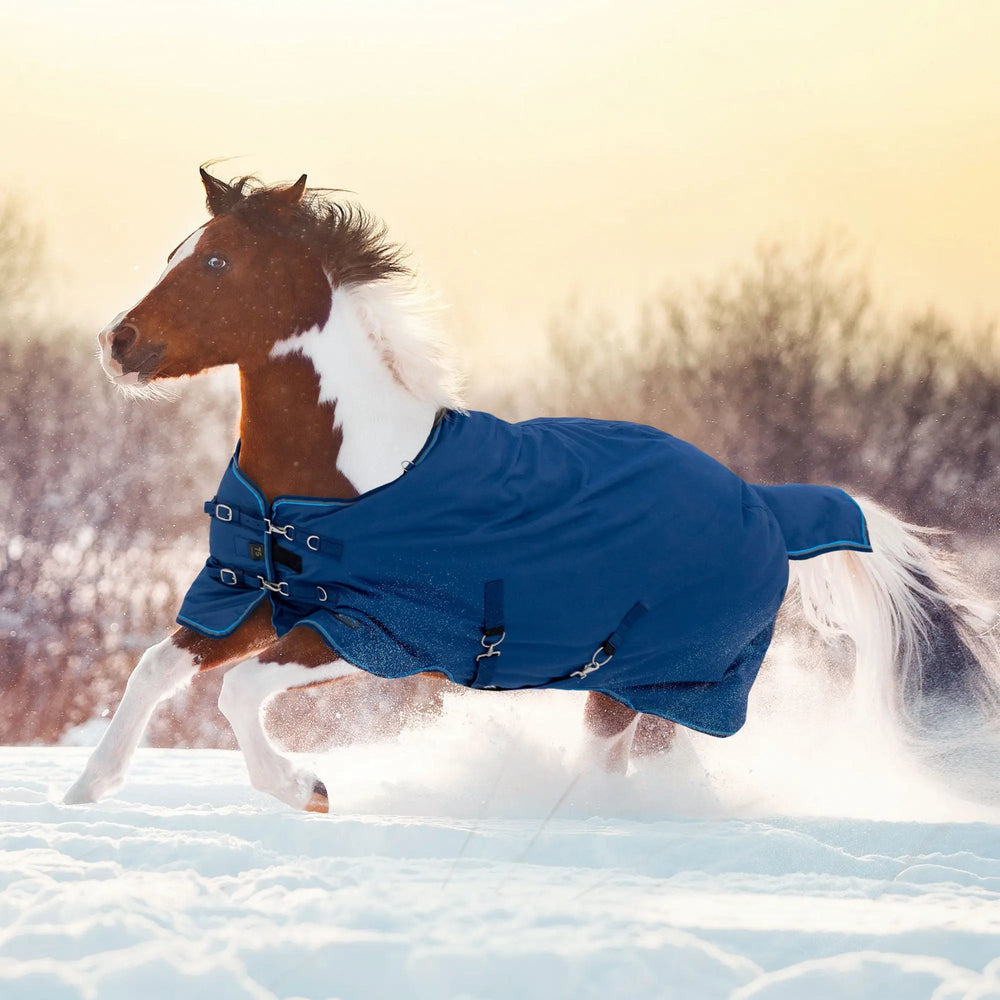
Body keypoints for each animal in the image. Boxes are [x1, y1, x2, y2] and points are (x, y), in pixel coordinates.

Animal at [65, 169, 1000, 813]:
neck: (345, 481)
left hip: (656, 685)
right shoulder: (261, 598)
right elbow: (157, 665)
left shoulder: (380, 632)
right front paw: (84, 792)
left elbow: (235, 691)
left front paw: (307, 790)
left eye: (218, 261)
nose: (119, 343)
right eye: (178, 254)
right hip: (636, 691)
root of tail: (770, 503)